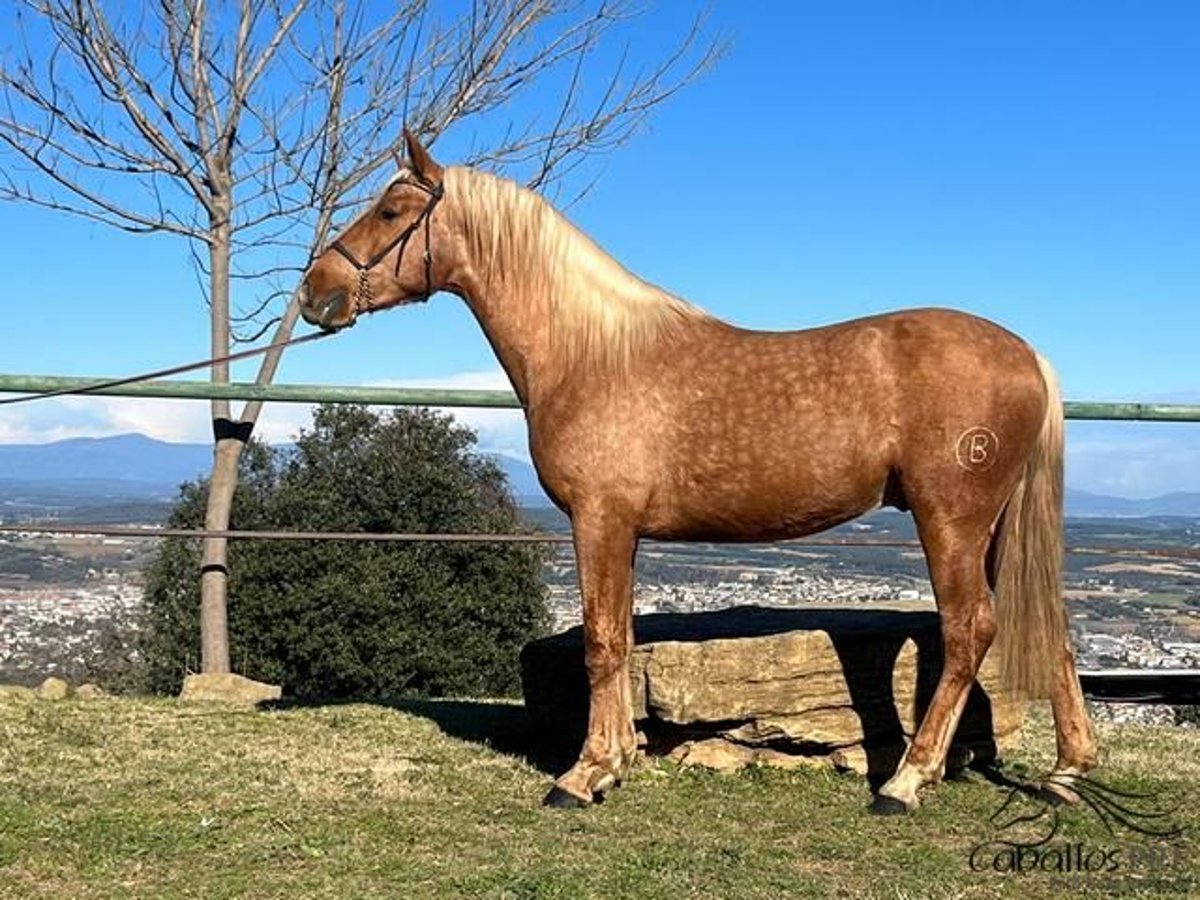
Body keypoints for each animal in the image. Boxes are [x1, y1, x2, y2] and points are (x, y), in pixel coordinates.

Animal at [300, 132, 1099, 816]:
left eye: (391, 210)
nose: (314, 292)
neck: (593, 354)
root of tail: (1028, 354)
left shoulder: (599, 518)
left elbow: (601, 642)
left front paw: (584, 775)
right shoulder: (620, 530)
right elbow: (620, 637)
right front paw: (617, 760)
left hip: (951, 520)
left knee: (970, 631)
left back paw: (906, 781)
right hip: (997, 526)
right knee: (1050, 626)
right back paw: (1066, 772)